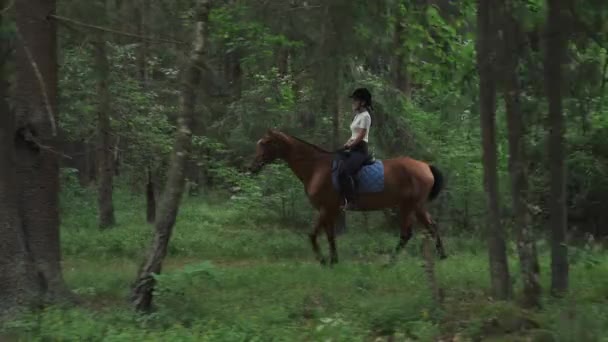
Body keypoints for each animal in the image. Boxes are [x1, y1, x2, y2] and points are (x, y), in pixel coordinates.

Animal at [248, 128, 446, 264]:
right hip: (417, 206)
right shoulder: (328, 210)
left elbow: (313, 235)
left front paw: (323, 260)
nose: (252, 167)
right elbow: (329, 235)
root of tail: (425, 166)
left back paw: (389, 263)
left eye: (265, 143)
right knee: (431, 227)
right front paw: (333, 261)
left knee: (407, 233)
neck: (316, 168)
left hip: (408, 206)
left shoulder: (326, 208)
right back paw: (441, 256)